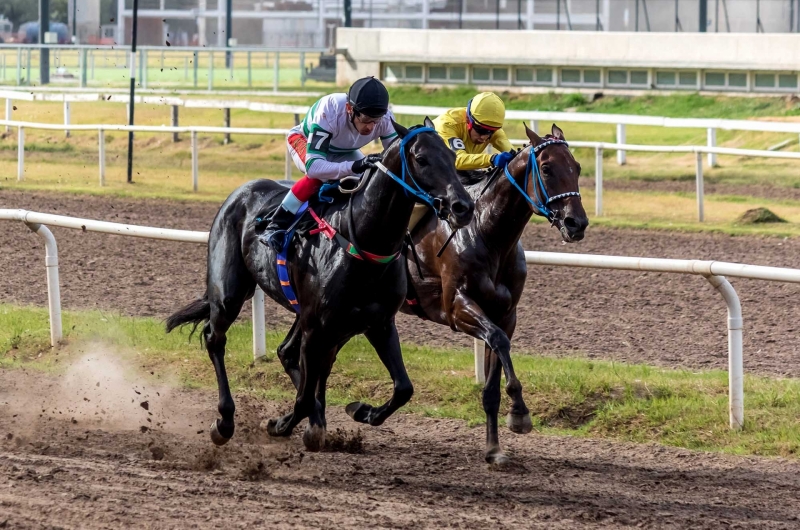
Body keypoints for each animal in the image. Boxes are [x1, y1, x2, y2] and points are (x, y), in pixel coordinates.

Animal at [165, 117, 472, 448]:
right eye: (421, 159)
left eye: (453, 156)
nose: (462, 207)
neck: (363, 243)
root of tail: (242, 191)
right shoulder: (318, 326)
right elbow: (303, 397)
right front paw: (284, 424)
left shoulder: (377, 323)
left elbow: (403, 388)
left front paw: (360, 410)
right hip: (231, 293)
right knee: (216, 338)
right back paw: (225, 421)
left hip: (324, 322)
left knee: (293, 355)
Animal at [400, 124, 588, 462]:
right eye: (546, 168)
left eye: (577, 167)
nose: (576, 223)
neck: (487, 232)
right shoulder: (456, 307)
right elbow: (498, 342)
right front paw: (520, 413)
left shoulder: (505, 314)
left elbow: (493, 382)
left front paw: (494, 448)